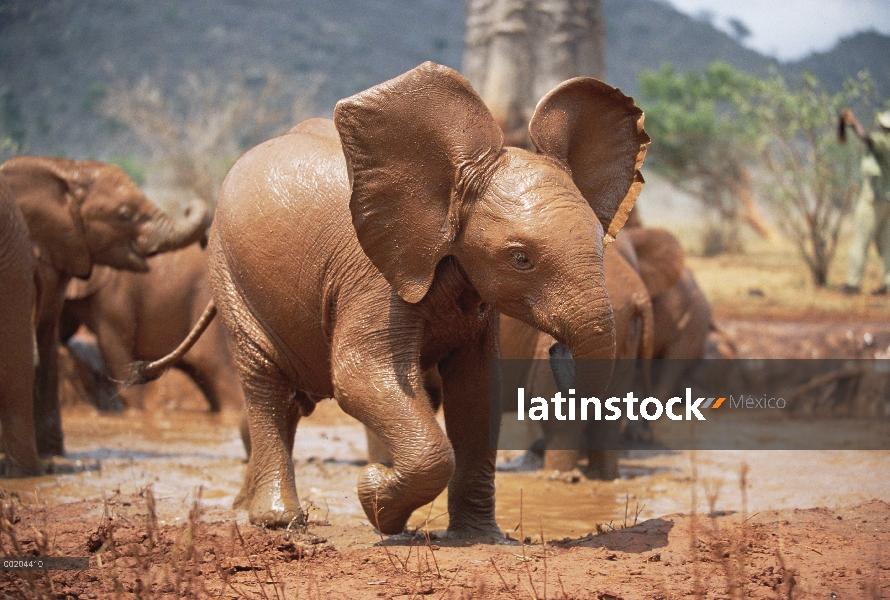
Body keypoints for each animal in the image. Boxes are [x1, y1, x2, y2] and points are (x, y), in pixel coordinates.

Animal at [0, 156, 210, 464]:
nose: (206, 241)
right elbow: (110, 345)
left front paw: (54, 455)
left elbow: (47, 340)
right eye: (124, 215)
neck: (65, 169)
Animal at [139, 63, 648, 536]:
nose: (559, 348)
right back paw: (277, 521)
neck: (449, 187)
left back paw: (246, 506)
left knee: (289, 400)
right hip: (227, 269)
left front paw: (479, 538)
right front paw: (375, 497)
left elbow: (478, 390)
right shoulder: (374, 277)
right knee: (263, 379)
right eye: (520, 258)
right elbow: (361, 375)